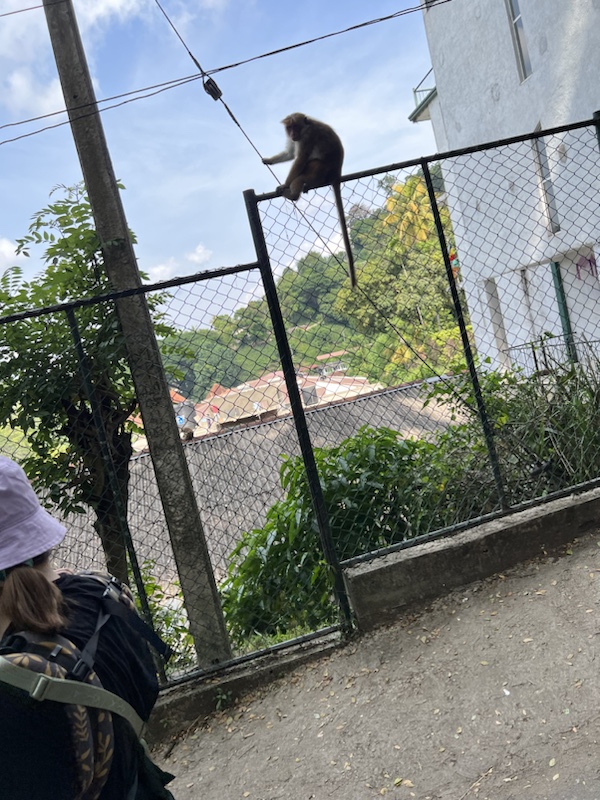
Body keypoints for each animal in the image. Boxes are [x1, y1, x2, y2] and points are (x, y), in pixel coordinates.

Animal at [262, 113, 357, 288]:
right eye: (289, 128)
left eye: (295, 127)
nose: (292, 134)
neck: (307, 126)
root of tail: (336, 174)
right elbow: (290, 153)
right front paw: (269, 160)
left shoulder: (307, 137)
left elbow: (299, 159)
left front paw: (285, 184)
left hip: (321, 171)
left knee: (310, 165)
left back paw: (293, 193)